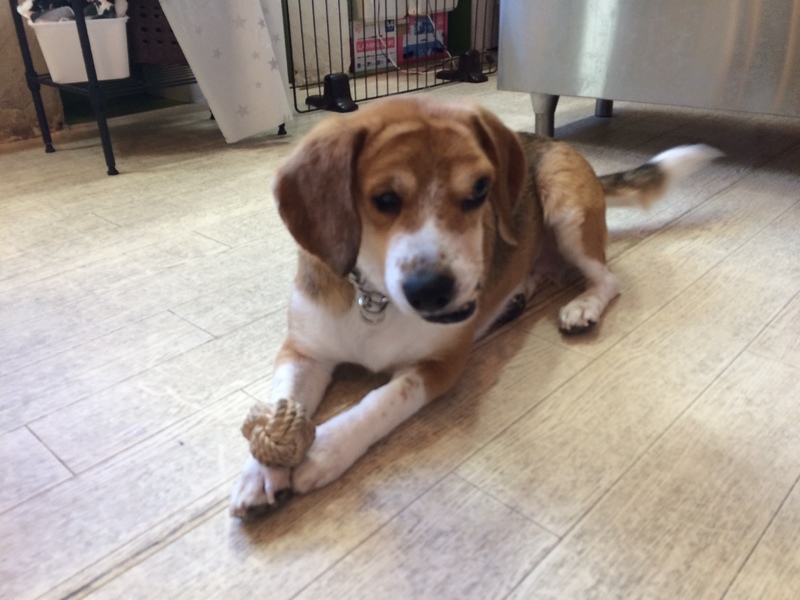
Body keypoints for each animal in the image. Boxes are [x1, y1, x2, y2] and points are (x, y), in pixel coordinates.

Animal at [230, 96, 720, 517]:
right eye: (384, 199)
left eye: (480, 189)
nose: (433, 291)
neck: (375, 296)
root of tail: (558, 145)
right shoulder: (303, 352)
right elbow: (281, 400)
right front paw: (260, 470)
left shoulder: (438, 367)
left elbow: (380, 401)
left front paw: (327, 449)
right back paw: (516, 296)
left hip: (566, 208)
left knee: (608, 278)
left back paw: (582, 308)